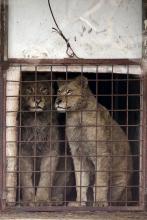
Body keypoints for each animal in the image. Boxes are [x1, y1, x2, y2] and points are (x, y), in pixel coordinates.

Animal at [54, 75, 132, 206]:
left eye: (69, 91)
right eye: (59, 92)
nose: (57, 101)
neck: (77, 116)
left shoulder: (102, 153)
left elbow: (100, 181)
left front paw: (100, 203)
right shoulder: (78, 155)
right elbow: (80, 182)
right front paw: (79, 202)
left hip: (120, 181)